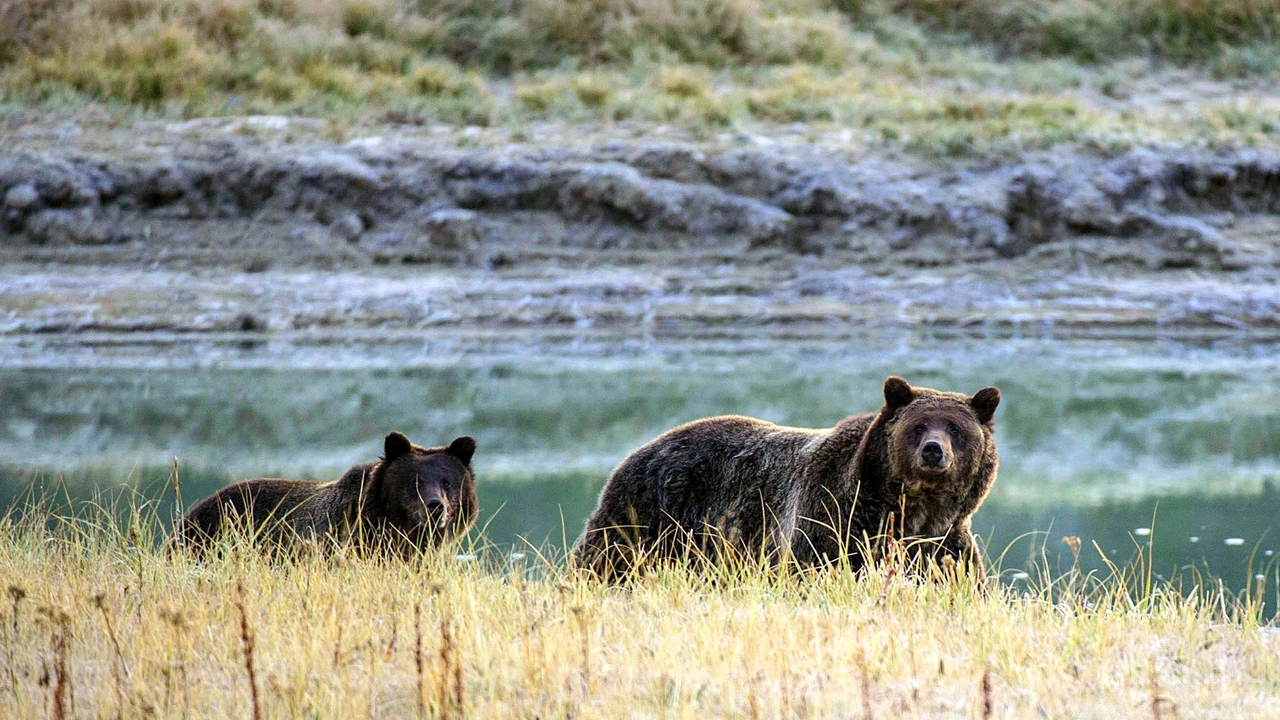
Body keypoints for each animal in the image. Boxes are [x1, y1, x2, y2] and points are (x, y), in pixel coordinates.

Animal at [570, 379, 998, 579]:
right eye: (918, 425)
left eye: (955, 427)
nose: (933, 451)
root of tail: (639, 449)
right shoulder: (832, 520)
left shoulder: (943, 544)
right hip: (648, 514)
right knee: (605, 560)